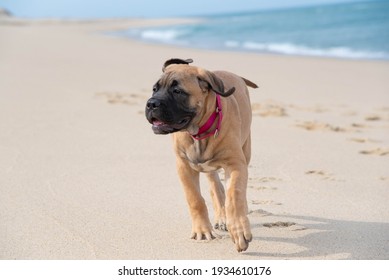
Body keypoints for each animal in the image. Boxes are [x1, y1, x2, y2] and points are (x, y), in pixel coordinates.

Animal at [144, 58, 256, 252]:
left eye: (177, 91)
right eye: (155, 89)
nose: (151, 104)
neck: (199, 132)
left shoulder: (236, 164)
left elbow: (235, 195)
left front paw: (239, 228)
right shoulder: (184, 166)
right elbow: (195, 199)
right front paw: (203, 230)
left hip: (245, 148)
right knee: (215, 187)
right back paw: (221, 216)